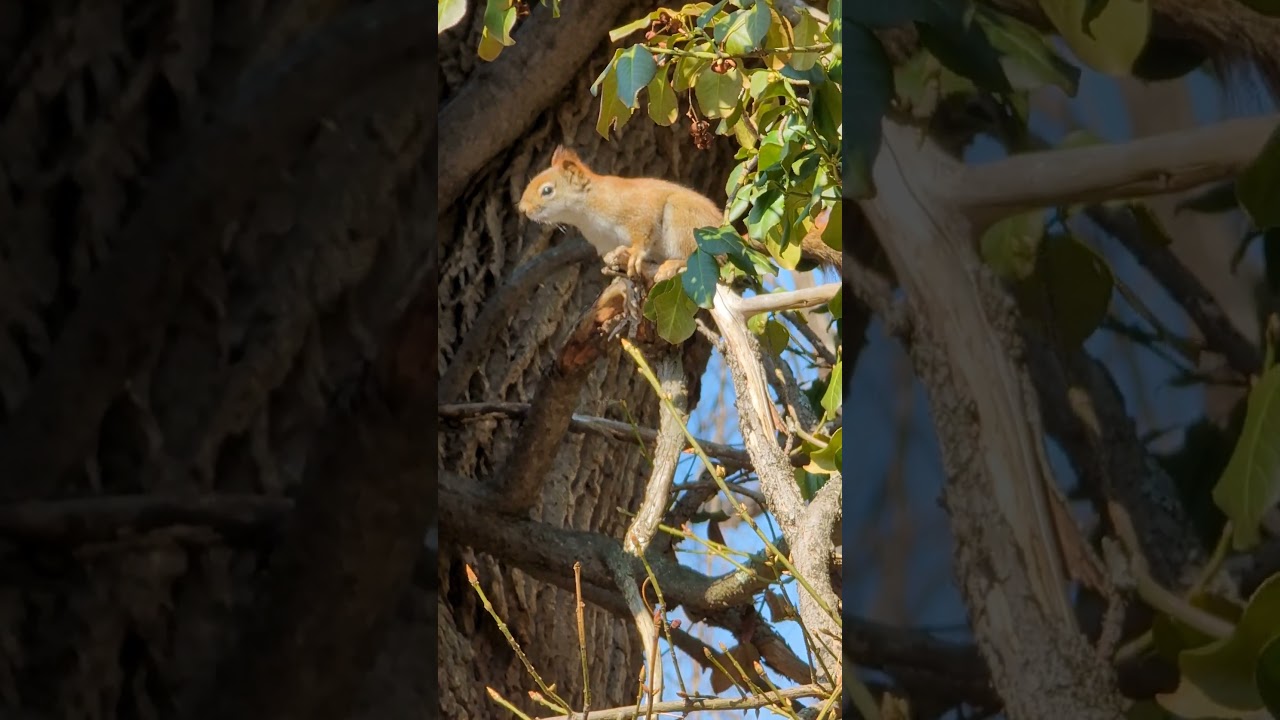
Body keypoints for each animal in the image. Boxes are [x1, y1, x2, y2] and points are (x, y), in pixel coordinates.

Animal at [518, 146, 841, 283]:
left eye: (547, 190)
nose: (522, 209)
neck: (586, 213)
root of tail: (728, 235)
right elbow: (612, 252)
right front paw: (615, 258)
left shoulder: (633, 209)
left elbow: (643, 231)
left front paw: (634, 254)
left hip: (682, 221)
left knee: (698, 256)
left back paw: (672, 264)